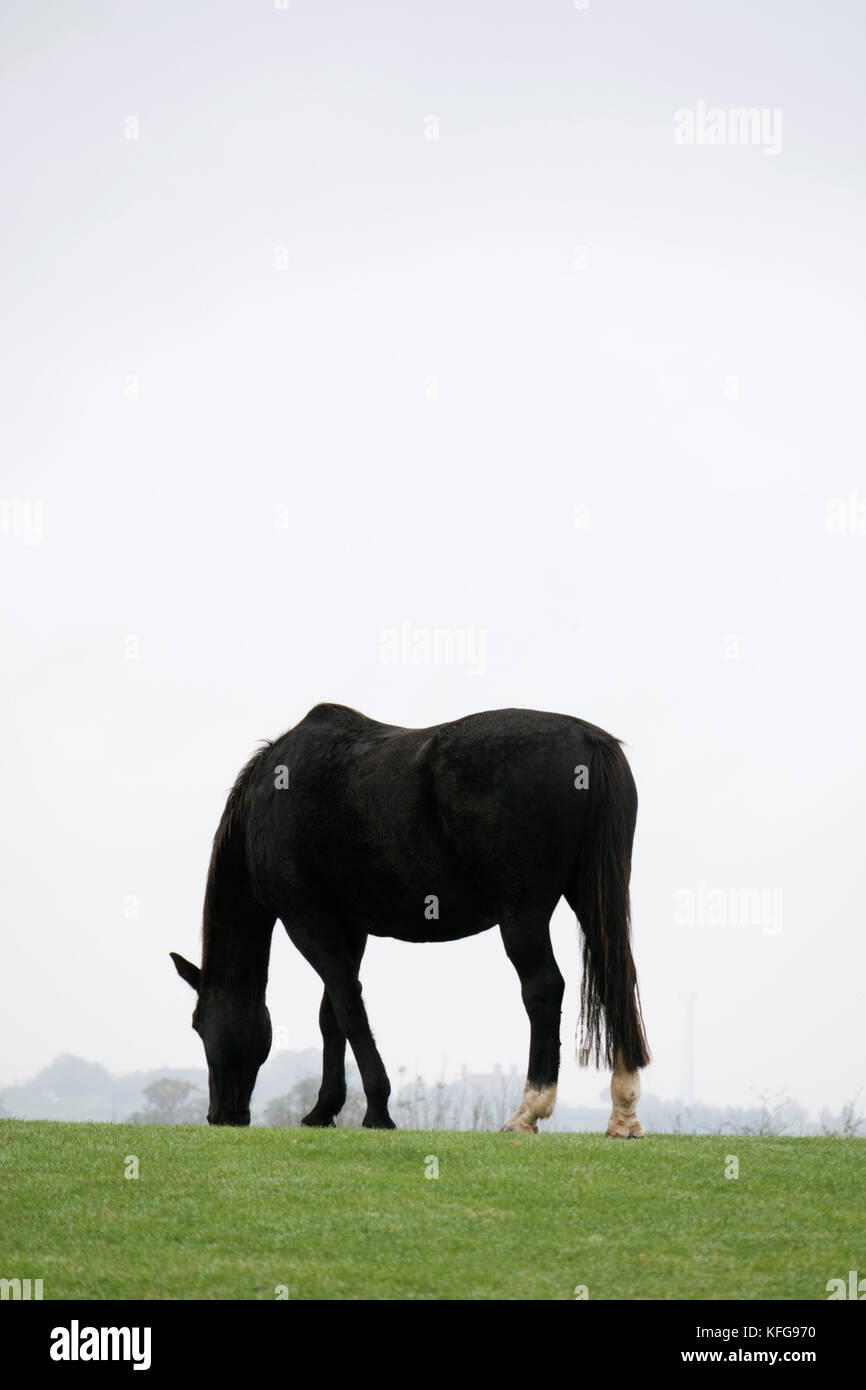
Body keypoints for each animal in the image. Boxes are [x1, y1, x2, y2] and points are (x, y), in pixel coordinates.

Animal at [171, 703, 650, 1136]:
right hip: (591, 899)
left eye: (197, 1023)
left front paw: (376, 1110)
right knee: (616, 980)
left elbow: (348, 1006)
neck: (270, 797)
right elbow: (332, 1015)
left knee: (544, 990)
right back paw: (623, 1115)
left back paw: (527, 1111)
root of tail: (588, 740)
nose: (222, 1116)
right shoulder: (350, 926)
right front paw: (324, 1110)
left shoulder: (306, 920)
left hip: (522, 915)